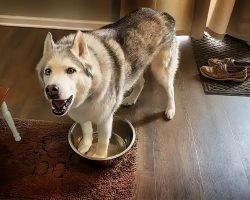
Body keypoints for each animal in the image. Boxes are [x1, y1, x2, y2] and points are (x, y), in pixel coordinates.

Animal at [36, 7, 179, 158]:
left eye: (70, 70)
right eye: (48, 71)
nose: (51, 90)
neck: (89, 93)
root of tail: (161, 14)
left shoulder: (105, 119)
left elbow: (103, 142)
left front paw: (99, 156)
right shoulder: (82, 115)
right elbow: (87, 131)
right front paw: (85, 146)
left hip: (161, 71)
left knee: (170, 90)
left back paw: (170, 109)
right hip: (135, 68)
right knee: (141, 82)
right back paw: (132, 98)